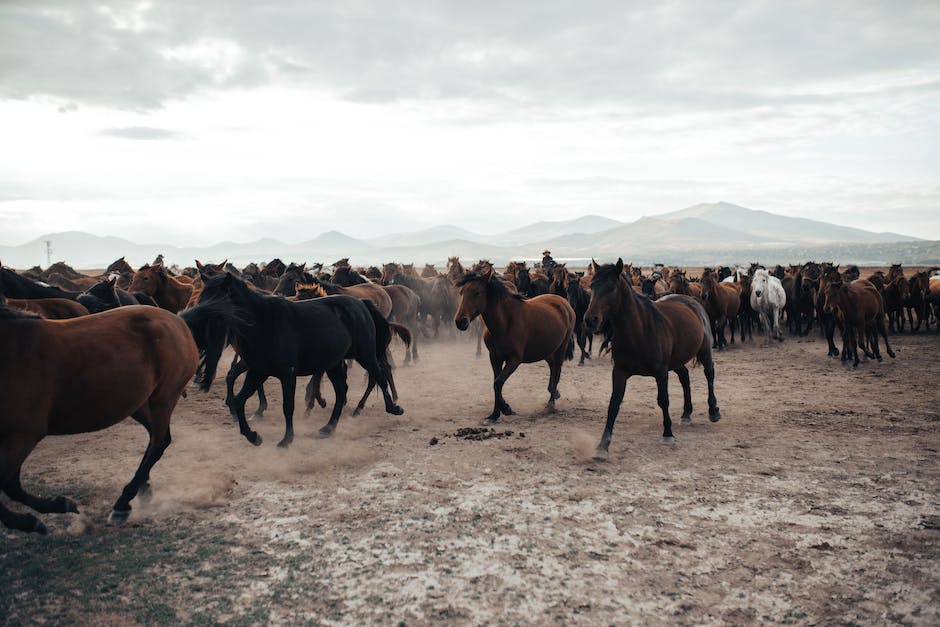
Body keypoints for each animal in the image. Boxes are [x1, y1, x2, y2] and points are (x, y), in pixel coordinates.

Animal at [0, 302, 198, 532]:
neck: (13, 353)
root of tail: (178, 321)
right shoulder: (15, 437)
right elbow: (12, 486)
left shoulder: (22, 435)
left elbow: (9, 486)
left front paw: (39, 517)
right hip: (139, 403)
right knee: (158, 440)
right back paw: (142, 490)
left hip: (163, 399)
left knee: (158, 444)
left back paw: (123, 503)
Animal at [181, 274, 404, 446]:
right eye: (202, 297)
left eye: (216, 299)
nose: (190, 318)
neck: (263, 322)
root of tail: (362, 303)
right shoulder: (258, 371)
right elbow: (238, 400)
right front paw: (253, 436)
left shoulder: (288, 373)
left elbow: (288, 407)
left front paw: (286, 440)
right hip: (334, 363)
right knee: (342, 392)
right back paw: (328, 428)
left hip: (365, 355)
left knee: (379, 375)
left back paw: (393, 407)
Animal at [454, 268, 576, 424]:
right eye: (461, 292)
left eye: (477, 292)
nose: (460, 322)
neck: (505, 322)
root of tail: (564, 302)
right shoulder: (495, 357)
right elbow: (496, 383)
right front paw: (497, 413)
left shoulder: (514, 360)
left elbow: (498, 382)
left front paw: (504, 410)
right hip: (547, 351)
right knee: (553, 368)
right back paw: (554, 393)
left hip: (561, 348)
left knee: (557, 372)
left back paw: (551, 403)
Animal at [584, 260, 724, 462]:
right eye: (592, 286)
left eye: (611, 288)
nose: (591, 320)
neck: (639, 331)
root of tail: (691, 301)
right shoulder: (619, 372)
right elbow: (614, 404)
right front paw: (602, 446)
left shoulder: (661, 372)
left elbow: (663, 400)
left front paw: (668, 434)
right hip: (677, 361)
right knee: (685, 377)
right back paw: (686, 413)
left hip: (704, 351)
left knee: (709, 375)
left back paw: (713, 411)